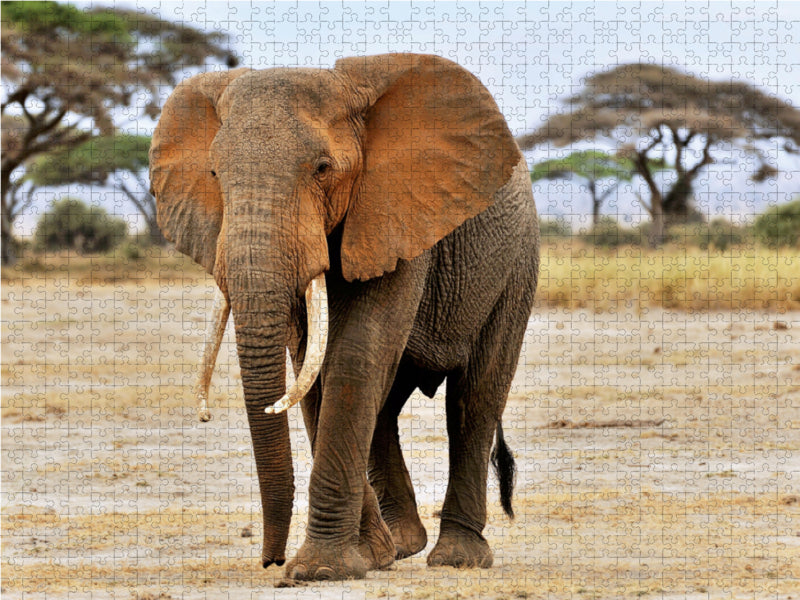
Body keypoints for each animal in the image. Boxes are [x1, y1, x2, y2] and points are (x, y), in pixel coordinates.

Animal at [150, 53, 540, 582]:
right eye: (213, 173)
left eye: (322, 168)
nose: (271, 560)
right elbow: (311, 369)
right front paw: (369, 556)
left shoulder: (398, 212)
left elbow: (356, 354)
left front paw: (322, 570)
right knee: (386, 408)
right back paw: (402, 545)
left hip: (516, 266)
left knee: (473, 401)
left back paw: (457, 558)